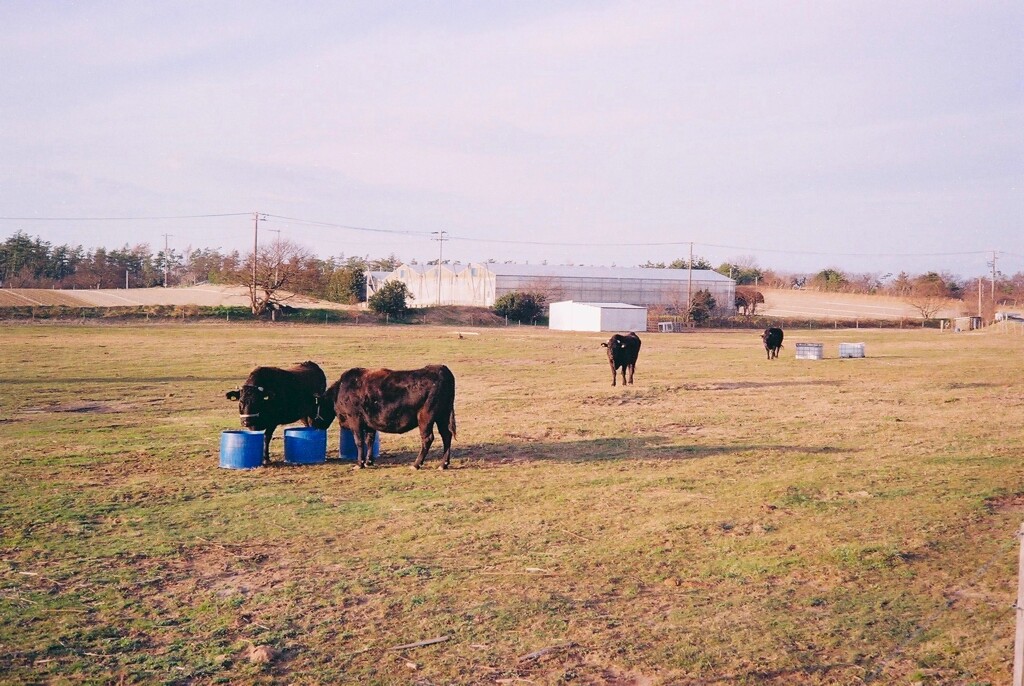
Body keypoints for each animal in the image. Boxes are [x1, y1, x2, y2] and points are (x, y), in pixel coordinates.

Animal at [311, 364, 456, 473]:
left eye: (313, 408)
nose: (314, 426)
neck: (341, 390)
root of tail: (441, 369)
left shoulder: (355, 420)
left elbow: (359, 441)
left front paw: (359, 463)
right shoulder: (369, 423)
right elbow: (369, 440)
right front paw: (369, 461)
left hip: (426, 418)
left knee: (427, 439)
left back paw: (416, 464)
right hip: (442, 416)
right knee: (446, 436)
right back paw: (443, 464)